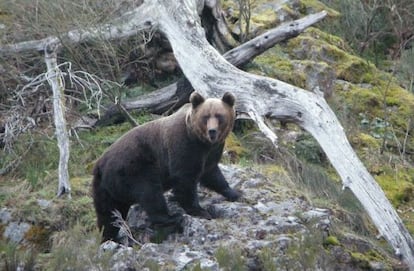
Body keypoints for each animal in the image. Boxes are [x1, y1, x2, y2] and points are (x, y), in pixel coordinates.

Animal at [90, 91, 239, 242]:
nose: (212, 131)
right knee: (150, 192)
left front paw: (234, 192)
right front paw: (200, 211)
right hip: (134, 168)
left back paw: (110, 237)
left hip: (104, 188)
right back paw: (171, 217)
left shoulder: (211, 152)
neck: (201, 142)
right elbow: (185, 179)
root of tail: (100, 165)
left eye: (219, 116)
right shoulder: (184, 146)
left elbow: (212, 173)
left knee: (108, 214)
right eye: (205, 117)